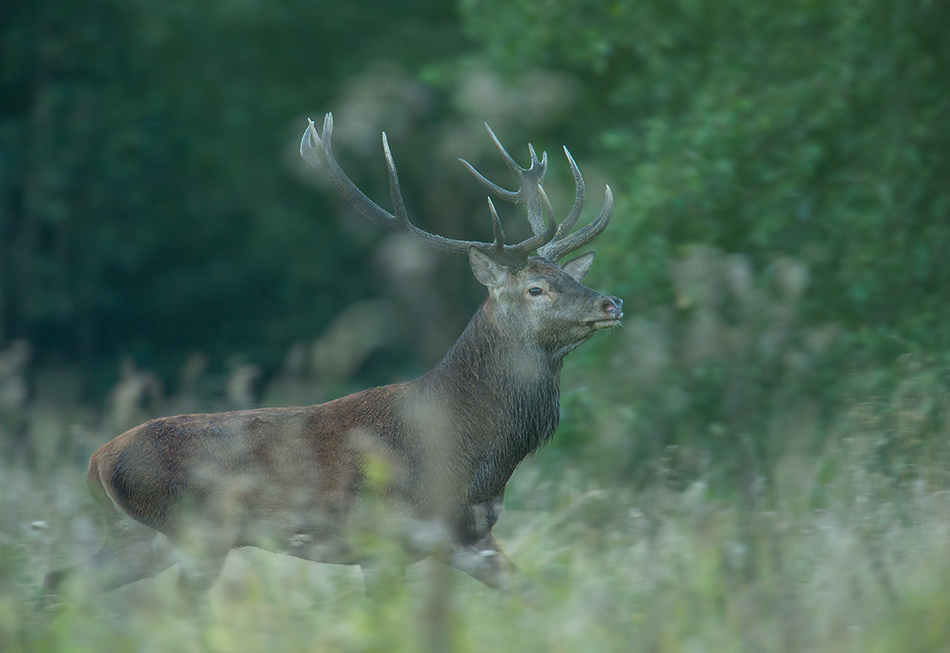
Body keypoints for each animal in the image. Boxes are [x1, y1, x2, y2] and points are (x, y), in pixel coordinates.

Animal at [46, 113, 624, 596]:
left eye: (572, 277)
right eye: (535, 289)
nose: (611, 302)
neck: (474, 455)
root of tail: (98, 461)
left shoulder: (469, 538)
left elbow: (535, 596)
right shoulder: (380, 537)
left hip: (141, 539)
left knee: (61, 582)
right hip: (198, 532)